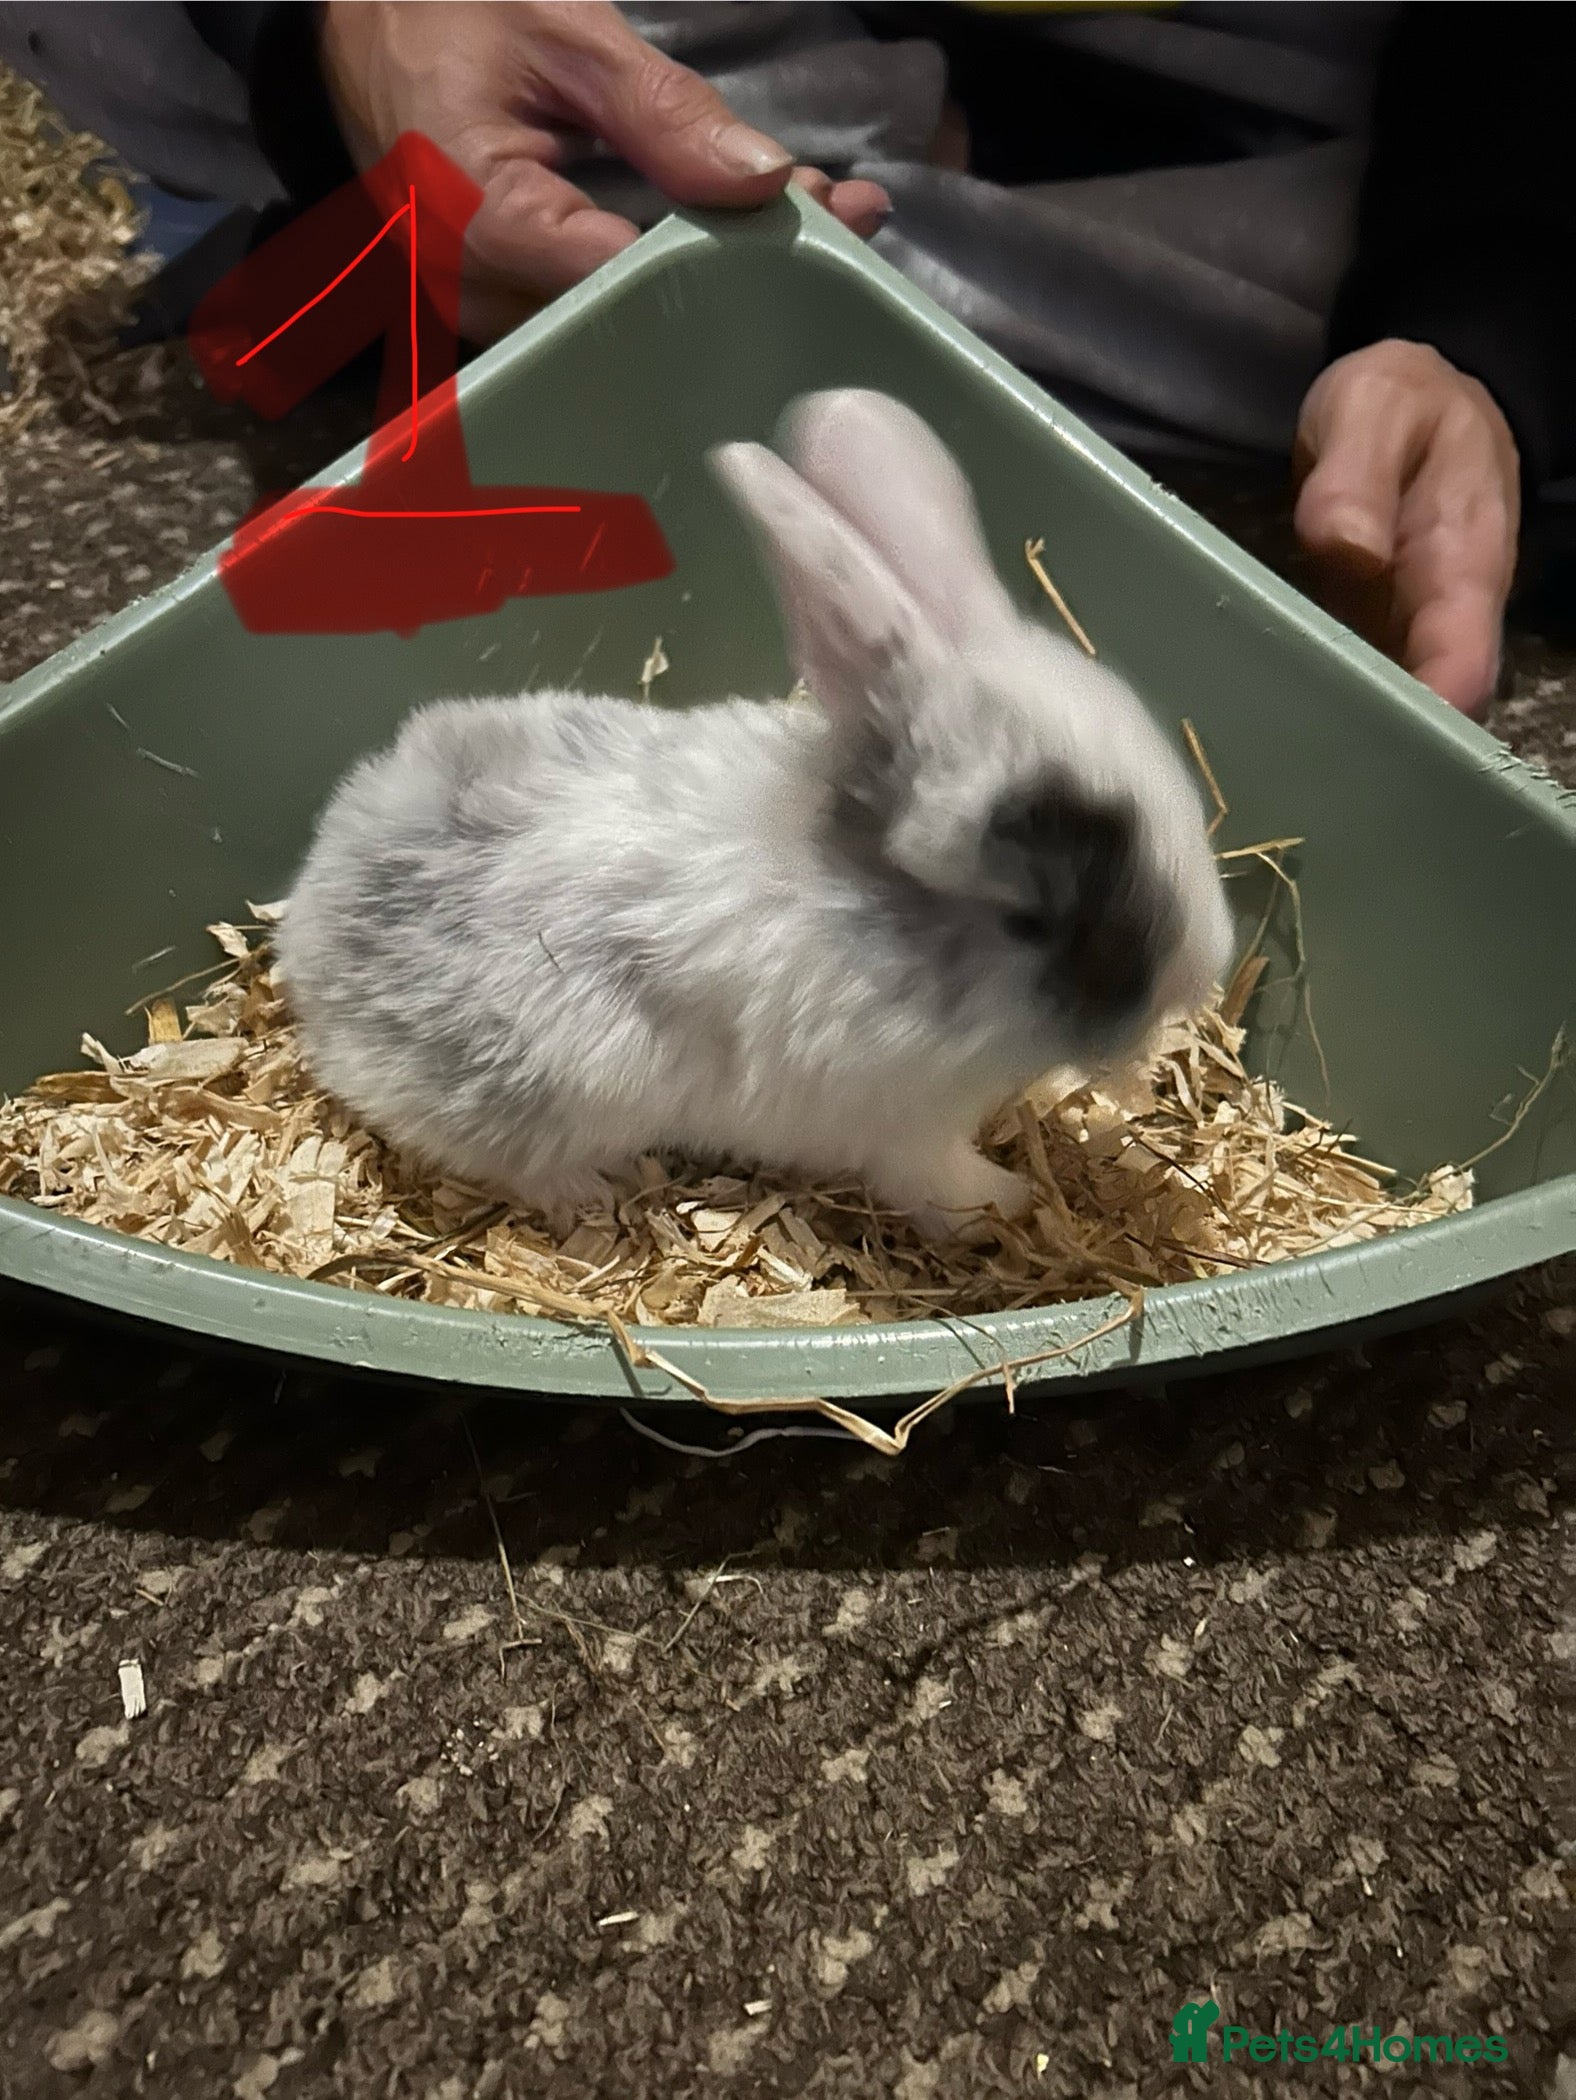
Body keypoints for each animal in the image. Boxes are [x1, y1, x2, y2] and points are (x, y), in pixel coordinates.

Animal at [276, 387, 1233, 1243]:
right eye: (1032, 920)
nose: (1200, 974)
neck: (883, 926)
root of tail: (308, 952)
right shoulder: (905, 1129)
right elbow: (941, 1186)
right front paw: (1007, 1205)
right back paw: (593, 1191)